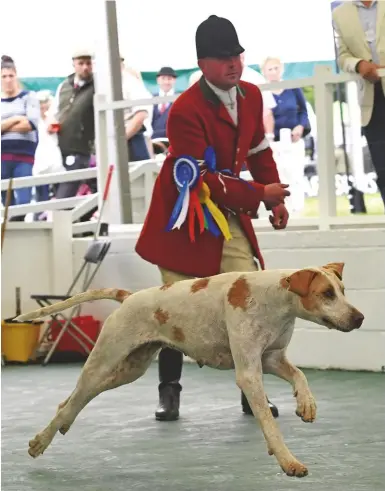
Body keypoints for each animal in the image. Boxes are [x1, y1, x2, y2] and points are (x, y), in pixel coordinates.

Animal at [15, 264, 364, 478]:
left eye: (343, 290)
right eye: (327, 294)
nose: (359, 318)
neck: (275, 299)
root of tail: (128, 297)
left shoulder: (271, 360)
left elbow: (300, 375)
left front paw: (306, 403)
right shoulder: (249, 373)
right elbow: (269, 423)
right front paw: (289, 462)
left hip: (126, 371)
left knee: (69, 402)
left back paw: (56, 429)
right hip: (102, 364)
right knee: (72, 400)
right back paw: (40, 442)